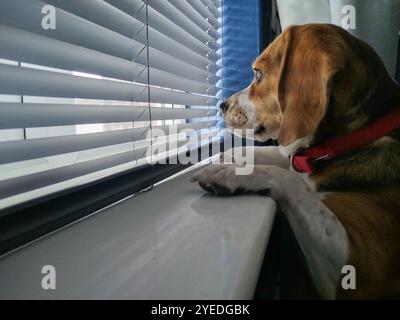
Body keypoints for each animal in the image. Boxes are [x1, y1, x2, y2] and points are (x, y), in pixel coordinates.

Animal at [191, 23, 400, 298]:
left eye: (258, 74)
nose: (221, 106)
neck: (358, 135)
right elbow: (282, 160)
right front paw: (230, 156)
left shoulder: (359, 269)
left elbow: (289, 179)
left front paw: (229, 174)